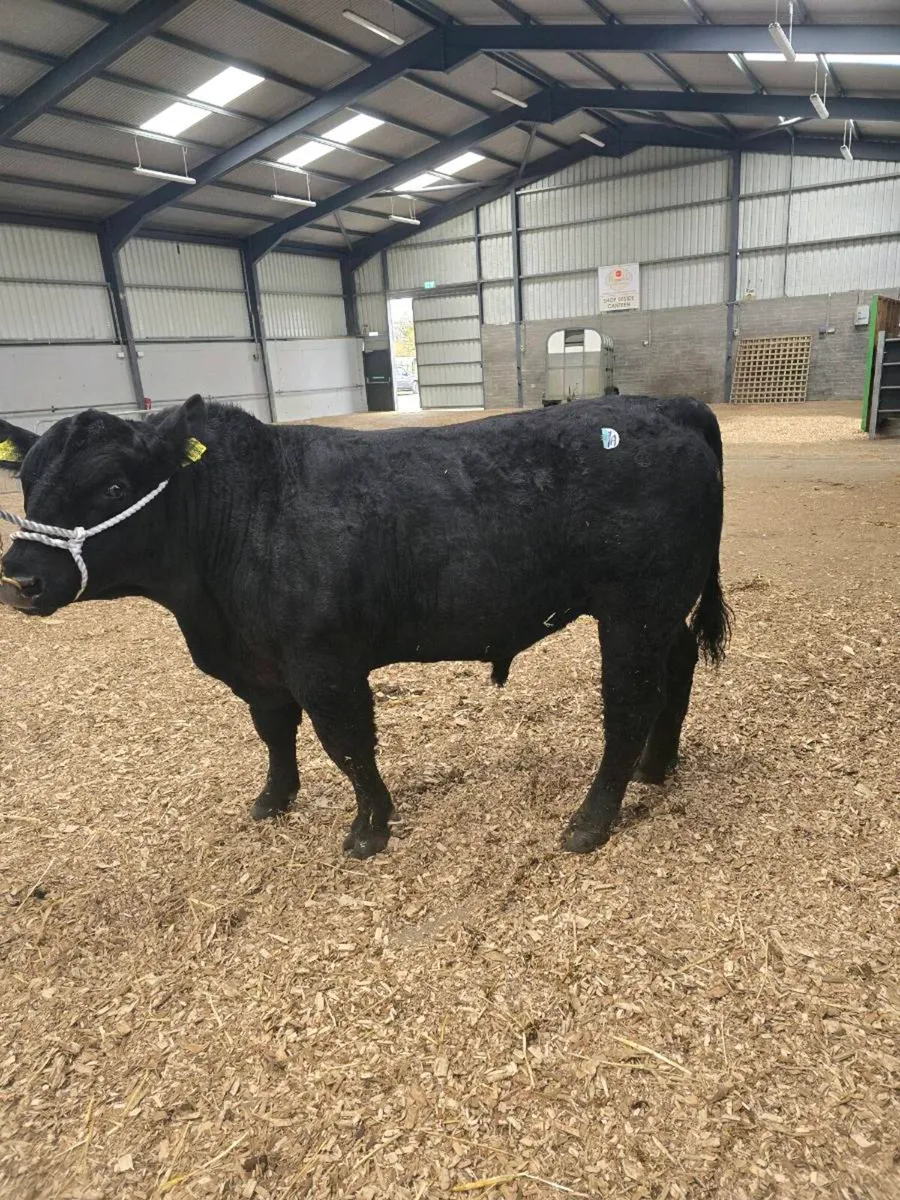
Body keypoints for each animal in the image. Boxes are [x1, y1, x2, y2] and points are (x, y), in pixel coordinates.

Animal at [0, 395, 730, 859]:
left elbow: (347, 743)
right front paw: (273, 799)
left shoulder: (324, 664)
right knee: (679, 668)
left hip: (635, 608)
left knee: (629, 704)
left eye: (114, 486)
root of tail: (666, 406)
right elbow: (275, 733)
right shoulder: (259, 667)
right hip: (663, 610)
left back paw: (590, 822)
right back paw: (657, 768)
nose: (19, 578)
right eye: (27, 484)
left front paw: (368, 829)